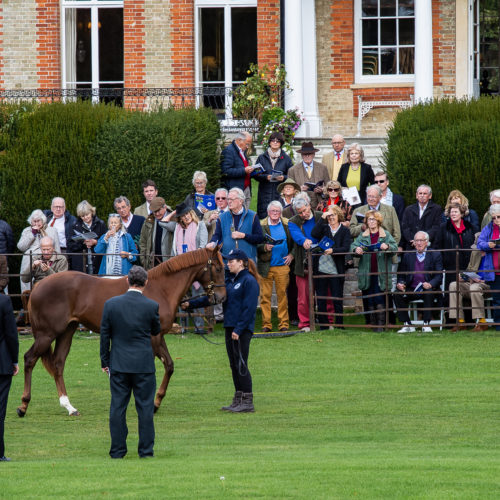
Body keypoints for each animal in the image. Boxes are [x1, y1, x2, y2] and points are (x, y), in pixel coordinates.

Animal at [17, 247, 225, 418]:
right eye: (218, 268)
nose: (222, 297)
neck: (160, 288)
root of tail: (38, 286)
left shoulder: (157, 337)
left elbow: (169, 366)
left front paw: (155, 402)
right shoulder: (153, 338)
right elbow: (156, 367)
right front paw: (150, 402)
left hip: (67, 331)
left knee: (58, 364)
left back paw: (69, 407)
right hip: (46, 334)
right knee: (29, 359)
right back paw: (23, 405)